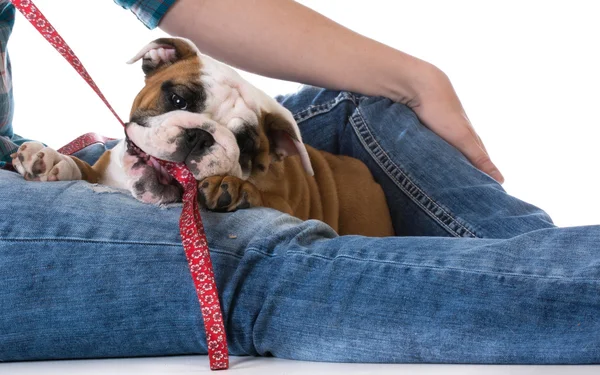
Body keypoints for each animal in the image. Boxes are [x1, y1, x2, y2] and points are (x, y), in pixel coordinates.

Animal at [12, 38, 394, 238]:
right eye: (178, 99)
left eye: (244, 145)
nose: (199, 136)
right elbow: (82, 168)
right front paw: (51, 160)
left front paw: (235, 188)